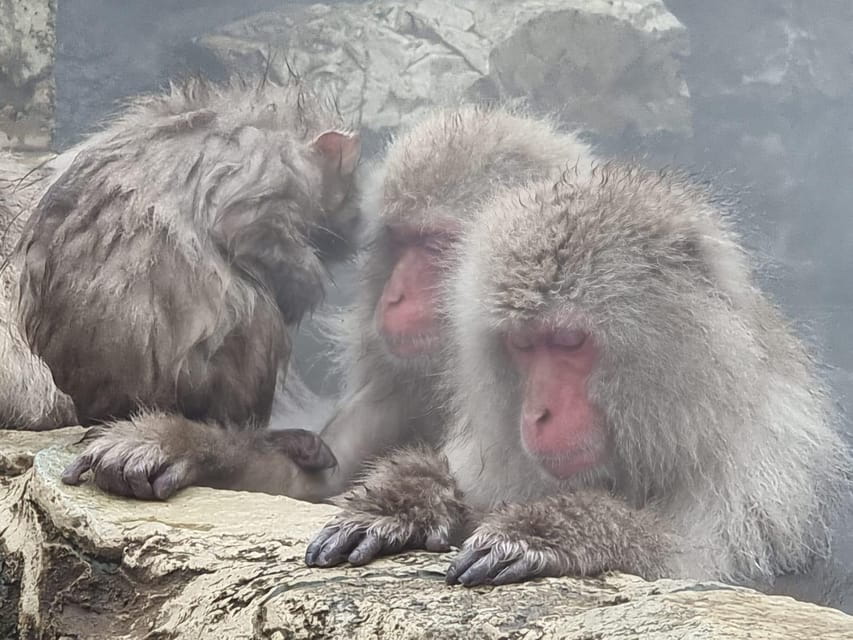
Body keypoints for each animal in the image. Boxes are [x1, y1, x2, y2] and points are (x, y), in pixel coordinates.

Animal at [13, 77, 363, 498]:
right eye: (348, 187)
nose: (358, 222)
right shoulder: (273, 164)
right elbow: (247, 231)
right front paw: (301, 287)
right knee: (256, 313)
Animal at [304, 163, 853, 609]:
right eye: (523, 344)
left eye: (568, 341)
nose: (537, 413)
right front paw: (403, 502)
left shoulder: (764, 489)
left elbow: (697, 571)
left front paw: (552, 532)